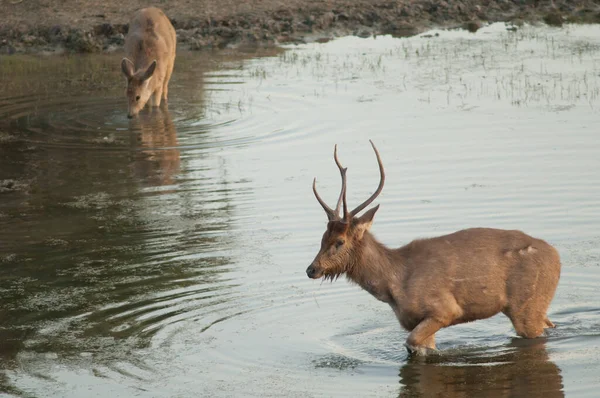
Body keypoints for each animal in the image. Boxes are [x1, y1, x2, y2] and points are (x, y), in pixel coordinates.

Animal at [308, 141, 560, 356]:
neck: (393, 284)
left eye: (339, 241)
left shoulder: (444, 309)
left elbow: (413, 344)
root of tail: (557, 257)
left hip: (525, 304)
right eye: (322, 238)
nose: (311, 269)